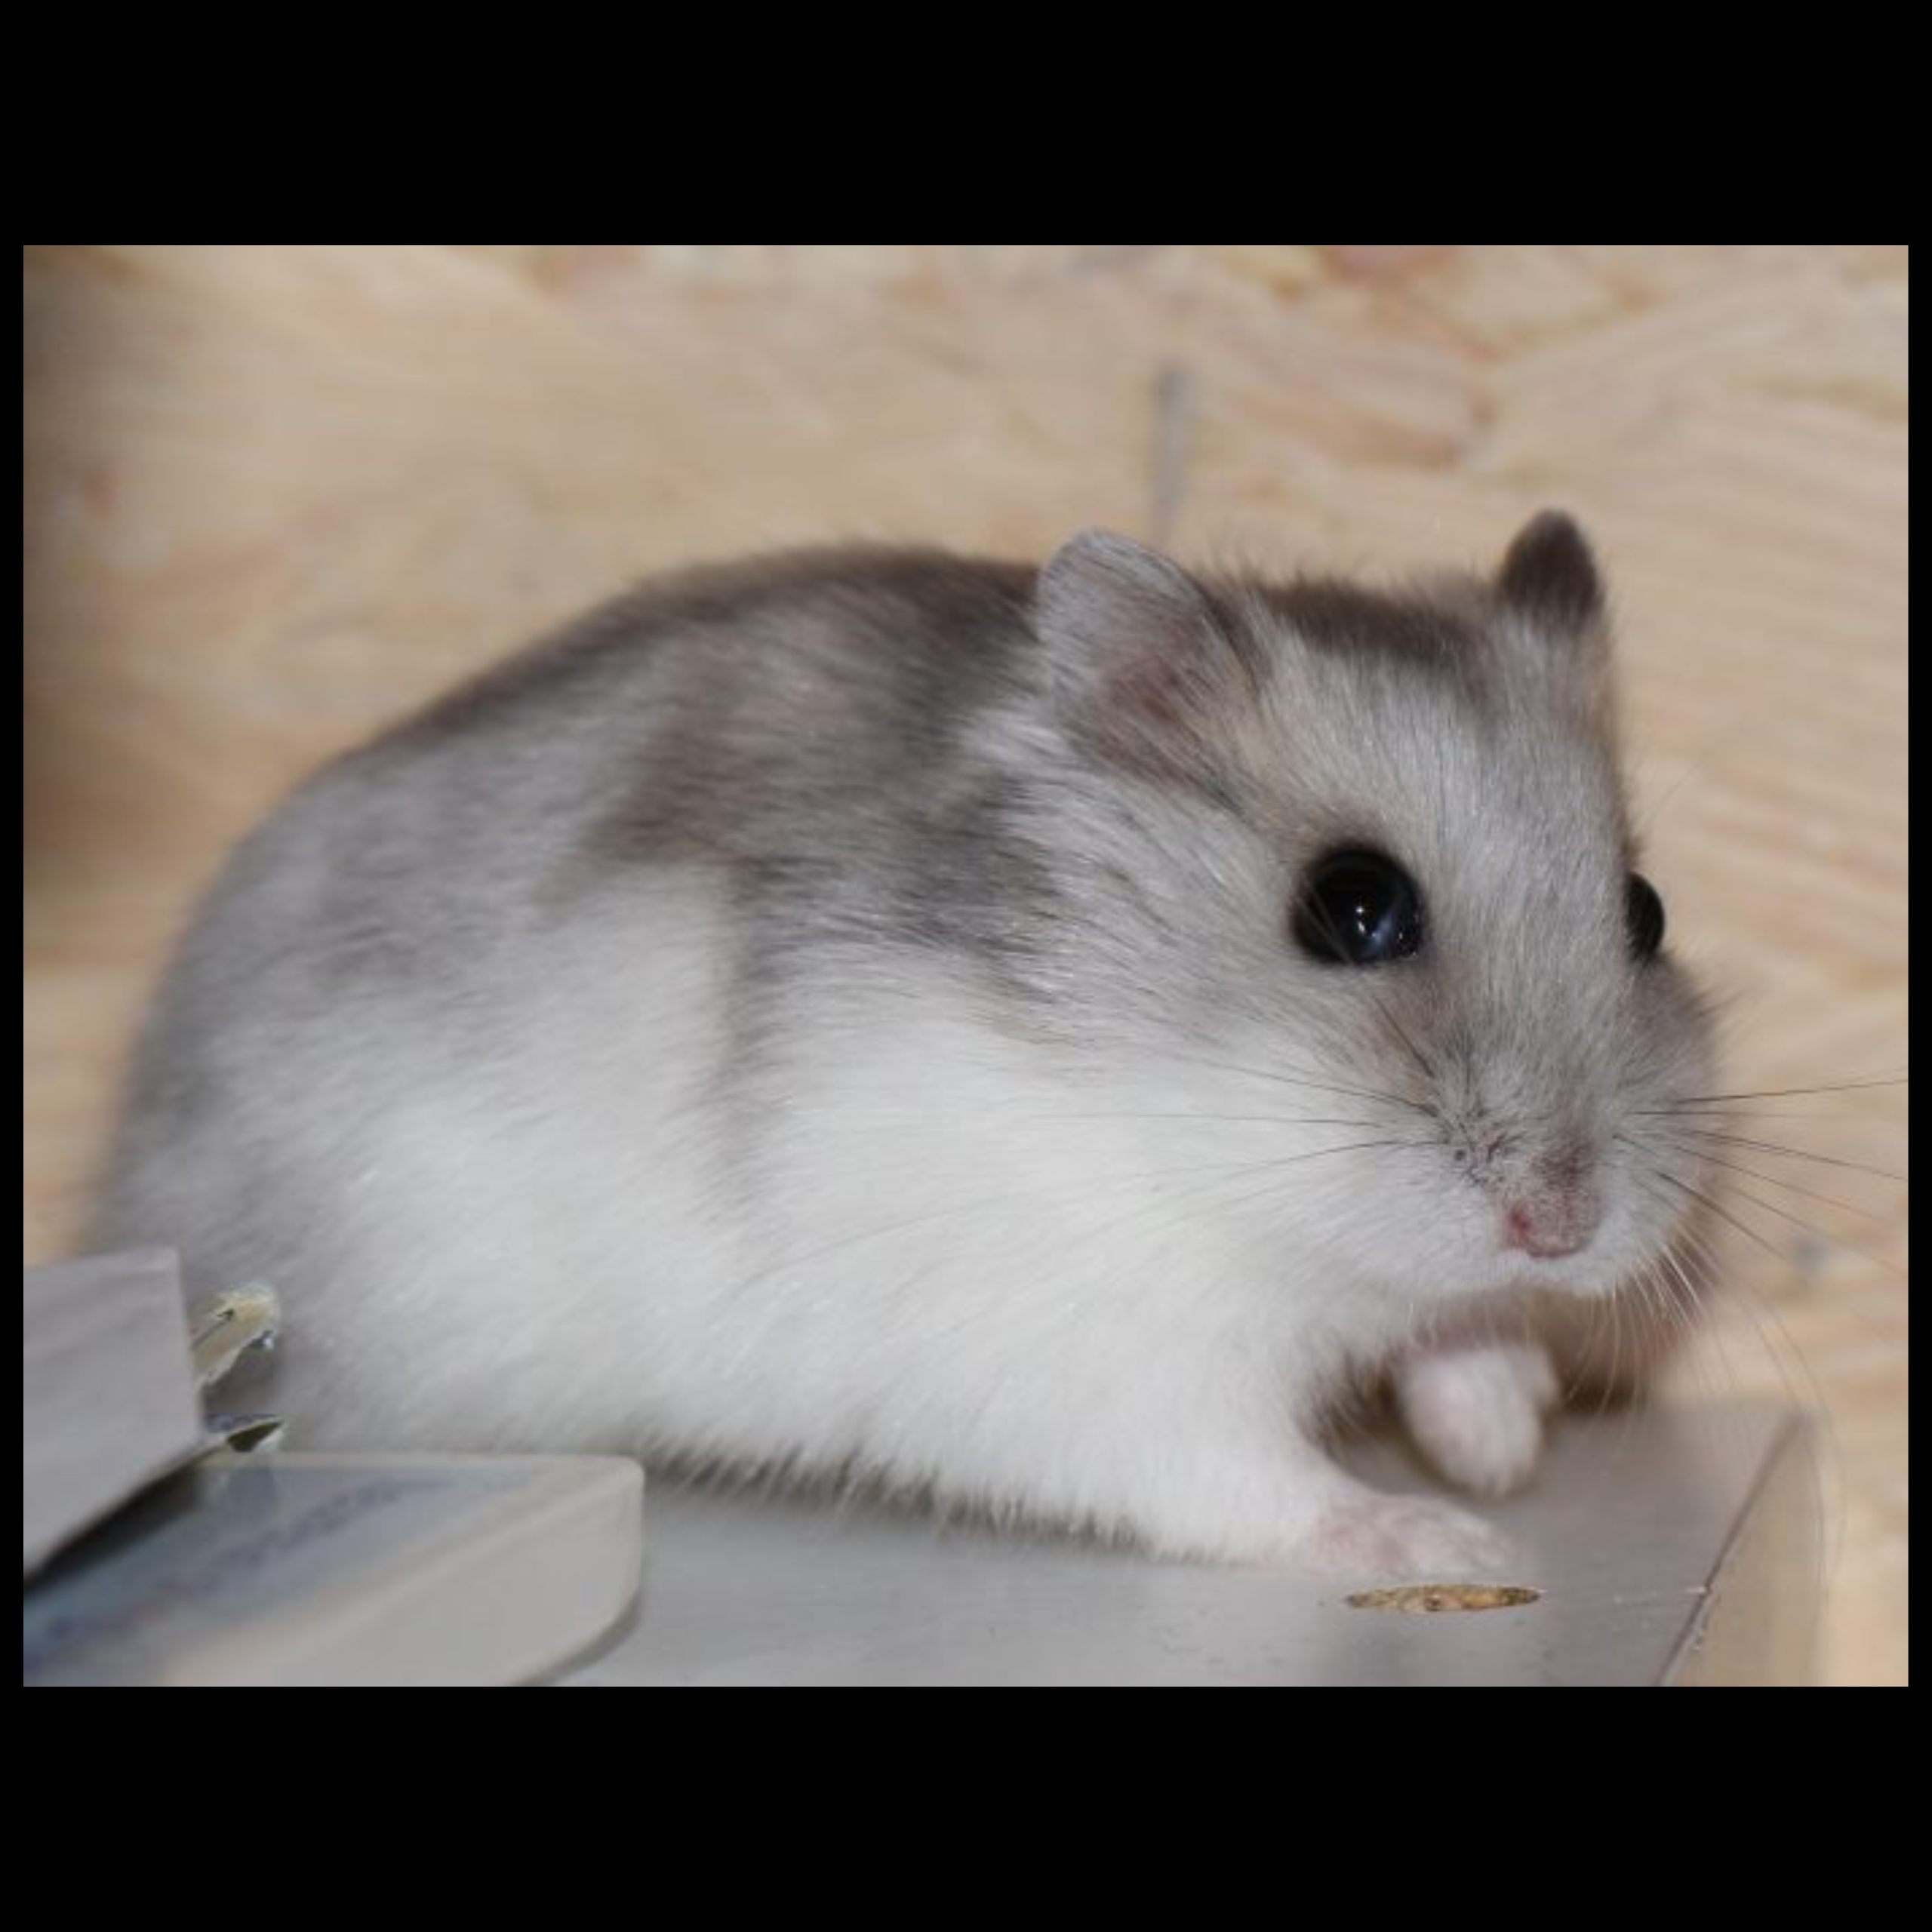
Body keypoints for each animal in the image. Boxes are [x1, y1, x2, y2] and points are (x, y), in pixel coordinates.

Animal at [93, 512, 1717, 1576]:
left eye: (1644, 911)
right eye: (1352, 907)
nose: (1563, 1221)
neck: (1198, 1126)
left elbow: (1458, 1328)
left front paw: (1500, 1440)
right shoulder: (1091, 1363)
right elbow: (1250, 1478)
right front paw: (1444, 1534)